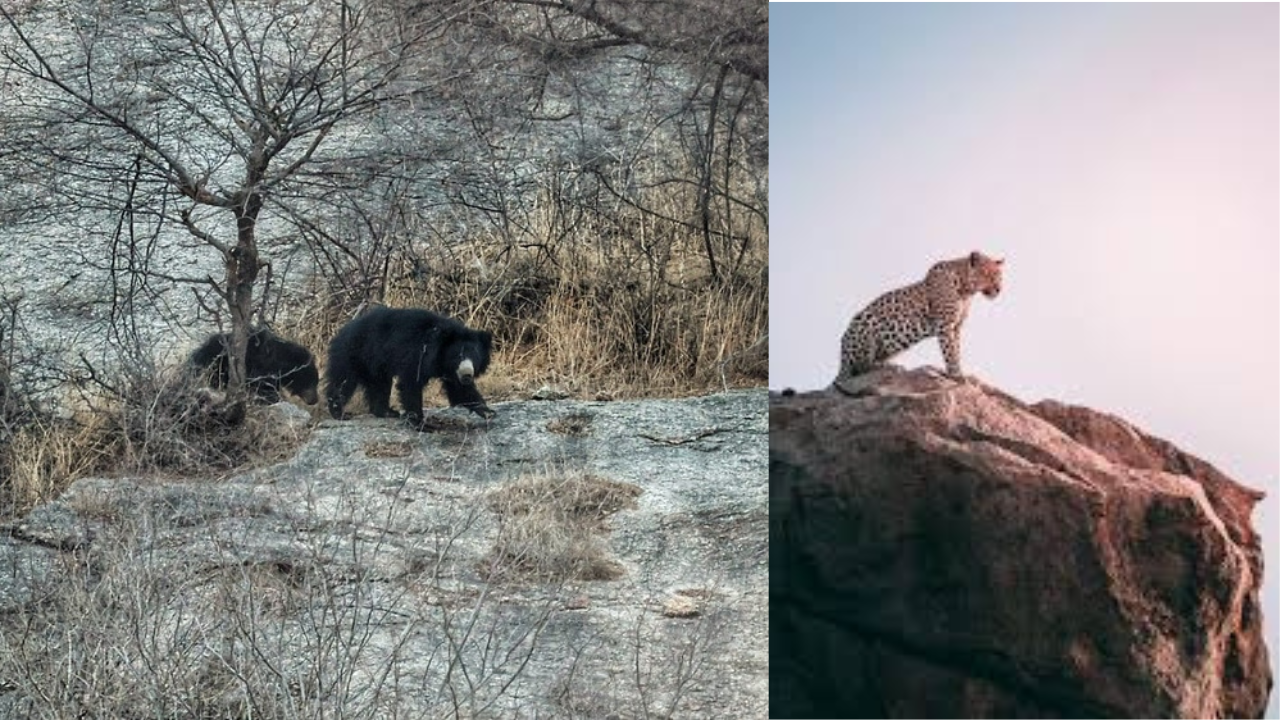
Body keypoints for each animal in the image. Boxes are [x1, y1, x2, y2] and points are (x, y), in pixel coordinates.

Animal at [838, 251, 1004, 383]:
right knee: (861, 367)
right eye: (987, 274)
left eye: (1000, 276)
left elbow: (957, 350)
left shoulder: (956, 327)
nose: (999, 289)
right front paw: (956, 374)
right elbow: (950, 351)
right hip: (866, 320)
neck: (966, 291)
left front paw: (959, 372)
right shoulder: (945, 325)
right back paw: (886, 366)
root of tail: (841, 359)